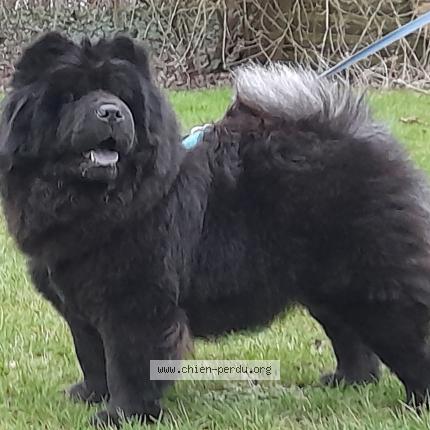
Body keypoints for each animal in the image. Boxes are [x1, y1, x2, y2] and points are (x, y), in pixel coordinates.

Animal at [2, 32, 430, 426]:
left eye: (123, 98)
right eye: (72, 97)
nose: (111, 112)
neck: (97, 202)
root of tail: (364, 140)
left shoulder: (134, 307)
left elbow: (128, 366)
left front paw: (121, 415)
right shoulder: (80, 307)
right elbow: (91, 356)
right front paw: (89, 396)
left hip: (373, 286)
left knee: (408, 339)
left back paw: (415, 404)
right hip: (327, 288)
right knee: (351, 338)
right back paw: (347, 381)